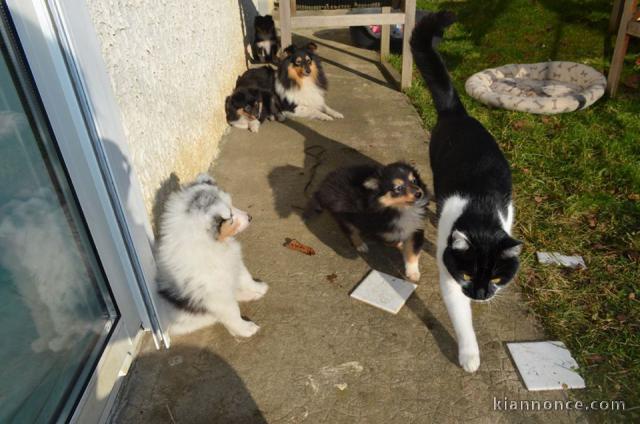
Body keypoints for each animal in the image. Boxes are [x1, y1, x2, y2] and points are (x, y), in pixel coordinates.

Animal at [155, 173, 268, 338]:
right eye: (231, 217)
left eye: (232, 205)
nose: (250, 217)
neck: (213, 243)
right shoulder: (216, 295)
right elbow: (233, 312)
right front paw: (245, 329)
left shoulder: (234, 261)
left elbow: (245, 277)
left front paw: (258, 287)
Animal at [412, 11, 524, 372]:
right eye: (465, 273)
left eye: (498, 280)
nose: (479, 295)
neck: (481, 212)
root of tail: (457, 112)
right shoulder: (450, 273)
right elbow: (461, 318)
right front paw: (470, 355)